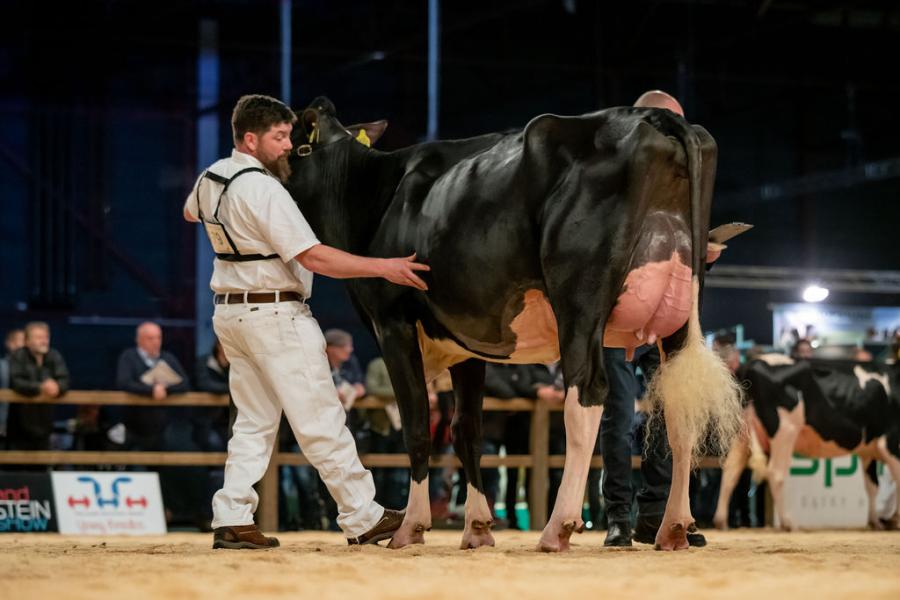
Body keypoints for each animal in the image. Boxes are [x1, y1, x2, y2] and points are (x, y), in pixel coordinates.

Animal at [284, 96, 740, 552]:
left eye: (292, 145)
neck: (375, 195)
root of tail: (651, 115)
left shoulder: (391, 322)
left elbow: (416, 426)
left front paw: (410, 526)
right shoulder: (465, 341)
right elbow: (466, 429)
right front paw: (477, 526)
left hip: (578, 300)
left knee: (586, 397)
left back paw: (559, 527)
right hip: (680, 315)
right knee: (680, 407)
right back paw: (673, 527)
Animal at [716, 356, 900, 528]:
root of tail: (753, 362)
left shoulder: (868, 451)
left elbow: (872, 486)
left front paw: (874, 521)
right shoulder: (890, 442)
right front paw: (894, 520)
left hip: (741, 433)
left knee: (731, 469)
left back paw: (721, 521)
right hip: (785, 430)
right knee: (775, 473)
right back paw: (788, 523)